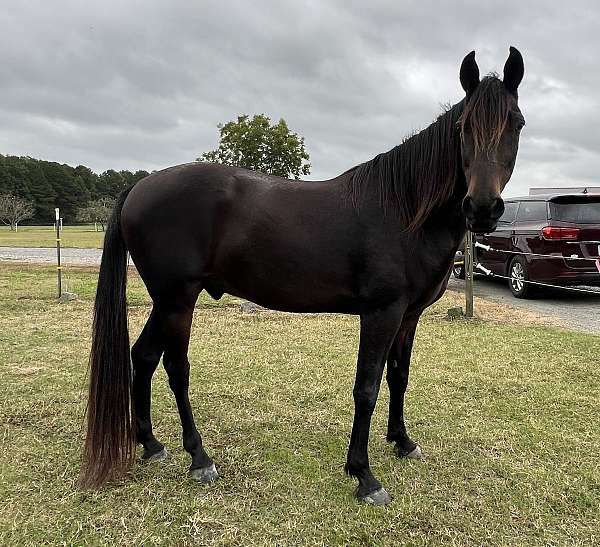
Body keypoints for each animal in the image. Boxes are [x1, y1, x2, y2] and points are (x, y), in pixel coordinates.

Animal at [81, 48, 524, 506]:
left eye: (517, 122)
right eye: (463, 127)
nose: (483, 207)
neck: (404, 211)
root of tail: (140, 186)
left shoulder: (409, 316)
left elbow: (399, 378)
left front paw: (402, 442)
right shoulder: (381, 313)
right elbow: (367, 387)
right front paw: (364, 475)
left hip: (166, 301)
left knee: (144, 357)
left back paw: (151, 444)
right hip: (179, 300)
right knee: (175, 367)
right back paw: (200, 458)